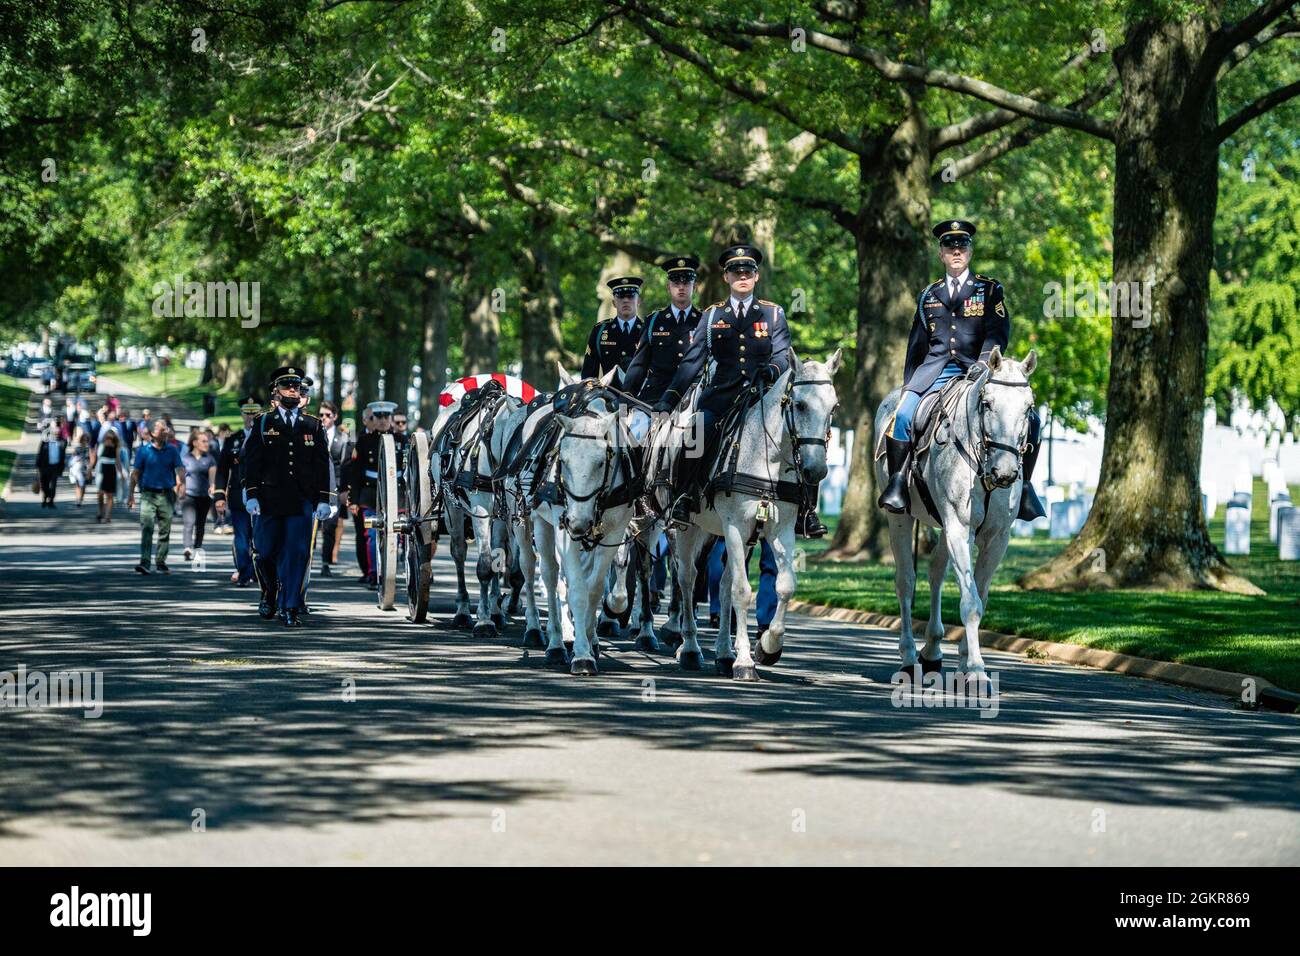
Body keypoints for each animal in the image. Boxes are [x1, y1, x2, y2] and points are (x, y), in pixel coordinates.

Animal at [650, 351, 842, 681]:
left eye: (833, 407)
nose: (815, 470)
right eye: (800, 405)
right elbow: (741, 590)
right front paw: (744, 663)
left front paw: (767, 646)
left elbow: (784, 585)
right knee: (687, 578)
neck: (768, 458)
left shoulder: (780, 530)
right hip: (683, 529)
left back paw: (724, 653)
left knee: (721, 583)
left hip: (716, 533)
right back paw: (689, 647)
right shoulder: (736, 527)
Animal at [873, 348, 1034, 686]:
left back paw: (933, 651)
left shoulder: (997, 538)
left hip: (944, 526)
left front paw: (963, 661)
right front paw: (976, 668)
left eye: (1029, 408)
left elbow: (980, 596)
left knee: (935, 573)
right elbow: (970, 602)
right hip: (901, 520)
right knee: (905, 581)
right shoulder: (960, 529)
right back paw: (909, 657)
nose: (1005, 472)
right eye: (987, 403)